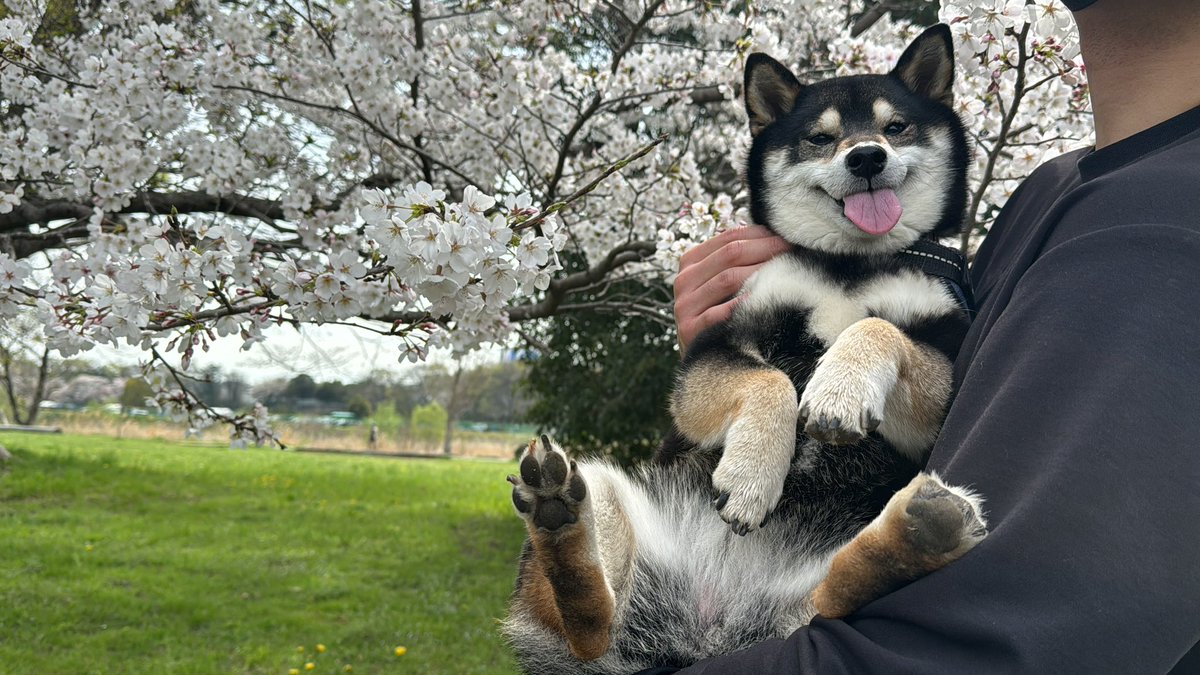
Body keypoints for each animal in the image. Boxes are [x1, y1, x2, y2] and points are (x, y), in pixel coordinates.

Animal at [504, 23, 984, 667]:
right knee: (588, 630)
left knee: (833, 595)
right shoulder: (717, 349)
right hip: (604, 487)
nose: (866, 156)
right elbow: (770, 378)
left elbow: (878, 328)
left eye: (897, 126)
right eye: (819, 138)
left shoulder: (937, 373)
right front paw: (754, 472)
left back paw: (922, 532)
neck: (847, 264)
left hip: (809, 598)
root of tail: (708, 634)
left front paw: (840, 386)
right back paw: (556, 516)